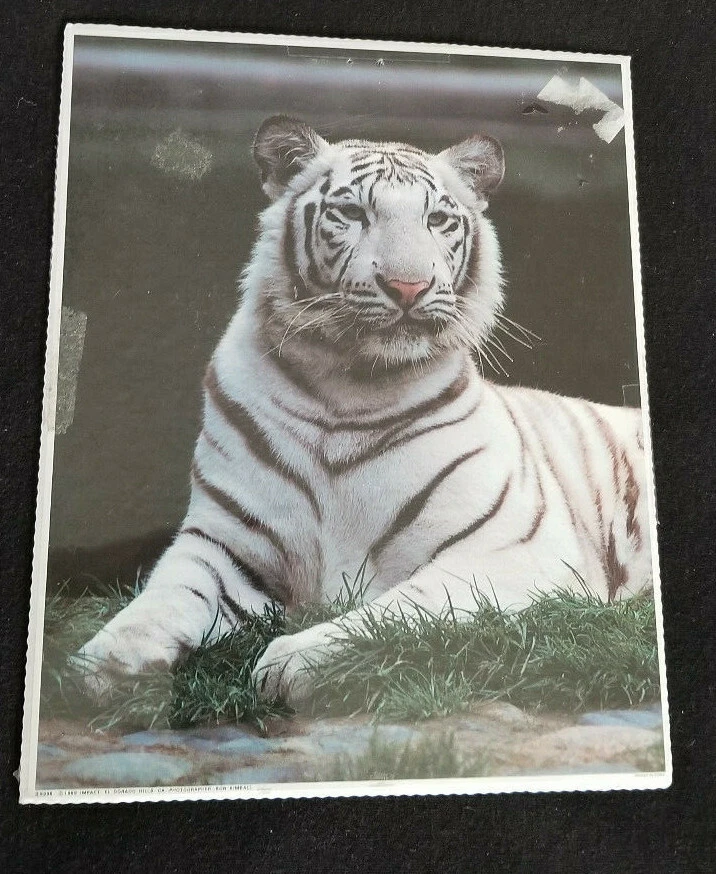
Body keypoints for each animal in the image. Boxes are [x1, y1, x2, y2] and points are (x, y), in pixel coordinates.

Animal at [76, 115, 653, 705]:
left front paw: (288, 660)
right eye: (352, 213)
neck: (347, 390)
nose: (408, 286)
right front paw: (106, 664)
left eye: (437, 220)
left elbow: (401, 609)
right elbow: (165, 596)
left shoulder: (510, 548)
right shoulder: (225, 541)